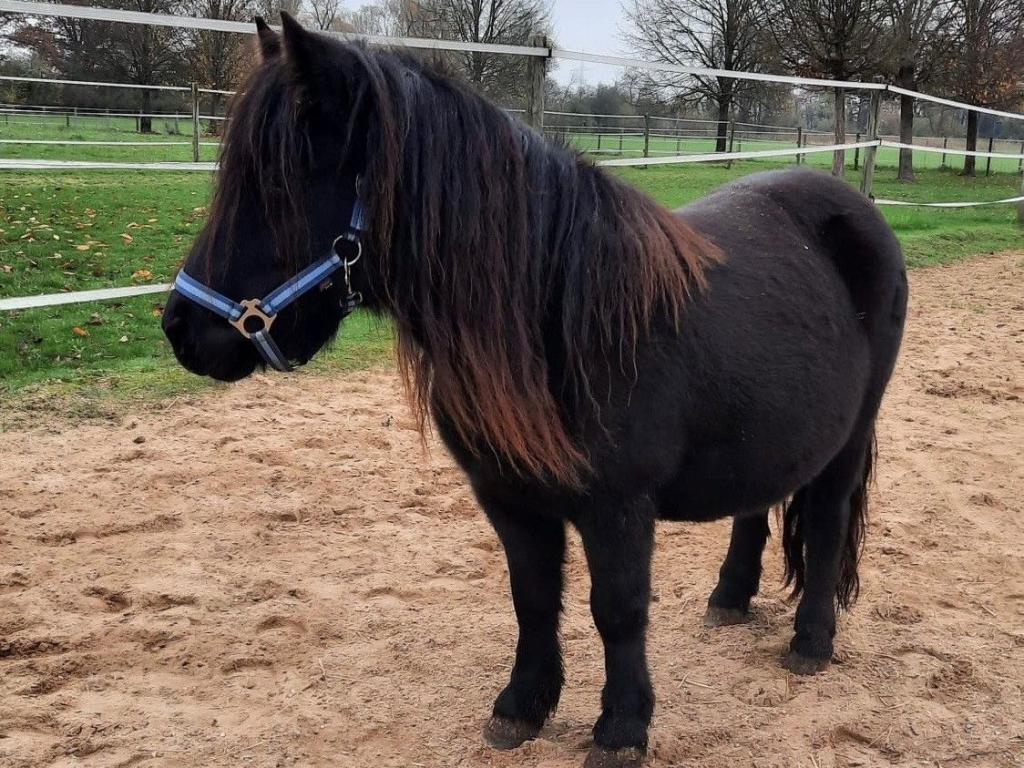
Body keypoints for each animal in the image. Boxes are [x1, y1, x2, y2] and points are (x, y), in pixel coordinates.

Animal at [162, 14, 908, 768]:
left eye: (276, 187)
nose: (181, 331)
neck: (559, 315)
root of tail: (855, 209)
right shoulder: (509, 499)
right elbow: (533, 599)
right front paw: (522, 706)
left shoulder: (618, 508)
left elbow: (617, 611)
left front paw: (621, 728)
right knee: (756, 505)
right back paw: (729, 597)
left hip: (852, 434)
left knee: (827, 520)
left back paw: (811, 641)